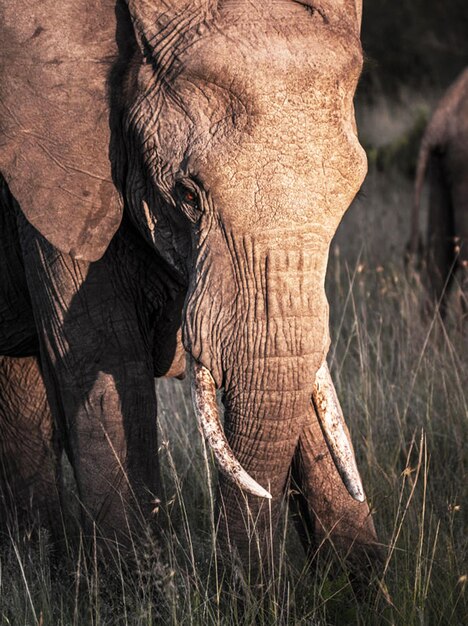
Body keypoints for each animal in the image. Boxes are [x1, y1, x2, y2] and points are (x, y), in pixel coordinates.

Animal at [0, 1, 378, 576]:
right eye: (187, 195)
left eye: (352, 192)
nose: (243, 585)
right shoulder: (53, 175)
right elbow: (104, 361)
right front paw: (135, 587)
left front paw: (368, 584)